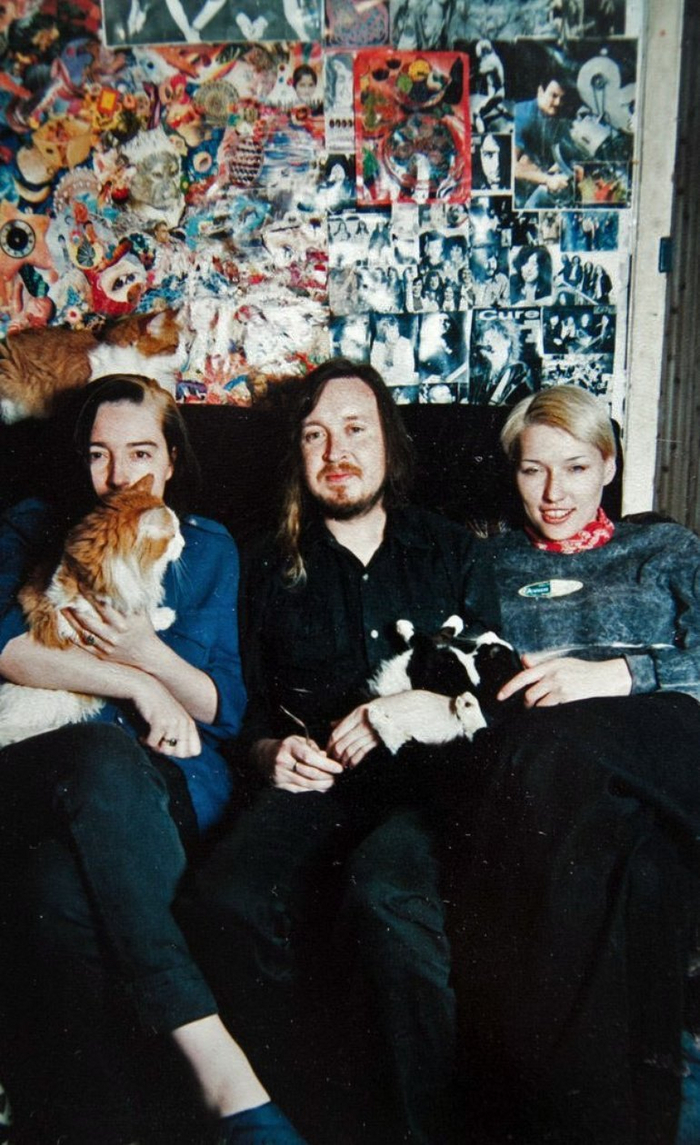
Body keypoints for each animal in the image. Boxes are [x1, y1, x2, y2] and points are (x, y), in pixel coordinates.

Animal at [366, 615, 521, 754]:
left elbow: (424, 642)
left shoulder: (429, 675)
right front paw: (456, 621)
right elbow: (438, 638)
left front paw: (404, 626)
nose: (491, 632)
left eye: (494, 652)